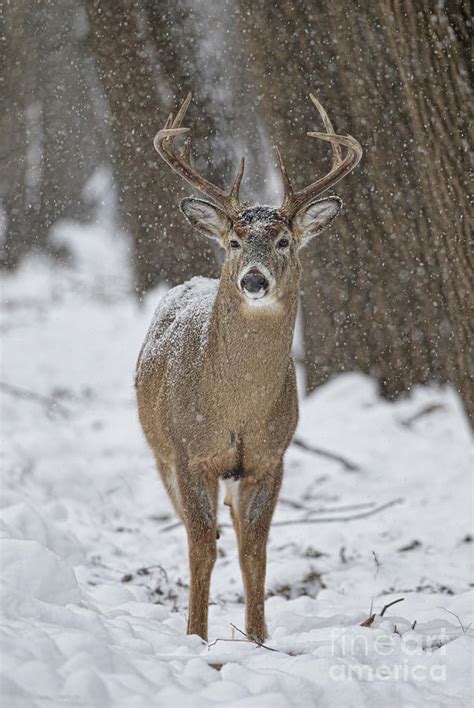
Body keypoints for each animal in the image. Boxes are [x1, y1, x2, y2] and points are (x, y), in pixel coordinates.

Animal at [137, 92, 362, 640]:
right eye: (235, 242)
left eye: (284, 241)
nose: (254, 280)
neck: (235, 409)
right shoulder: (189, 453)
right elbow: (201, 548)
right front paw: (196, 636)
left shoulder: (269, 457)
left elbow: (254, 552)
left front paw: (258, 638)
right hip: (160, 454)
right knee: (196, 532)